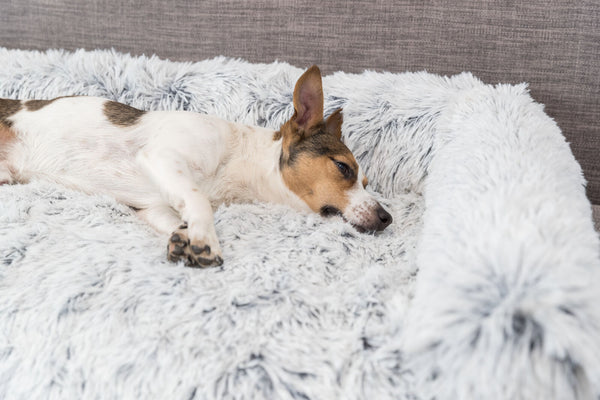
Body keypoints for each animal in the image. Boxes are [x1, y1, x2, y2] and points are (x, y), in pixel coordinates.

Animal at [0, 65, 394, 268]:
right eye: (343, 168)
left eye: (366, 181)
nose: (387, 217)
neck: (237, 161)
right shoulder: (162, 157)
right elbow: (199, 201)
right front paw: (204, 240)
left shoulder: (152, 205)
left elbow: (178, 214)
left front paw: (185, 237)